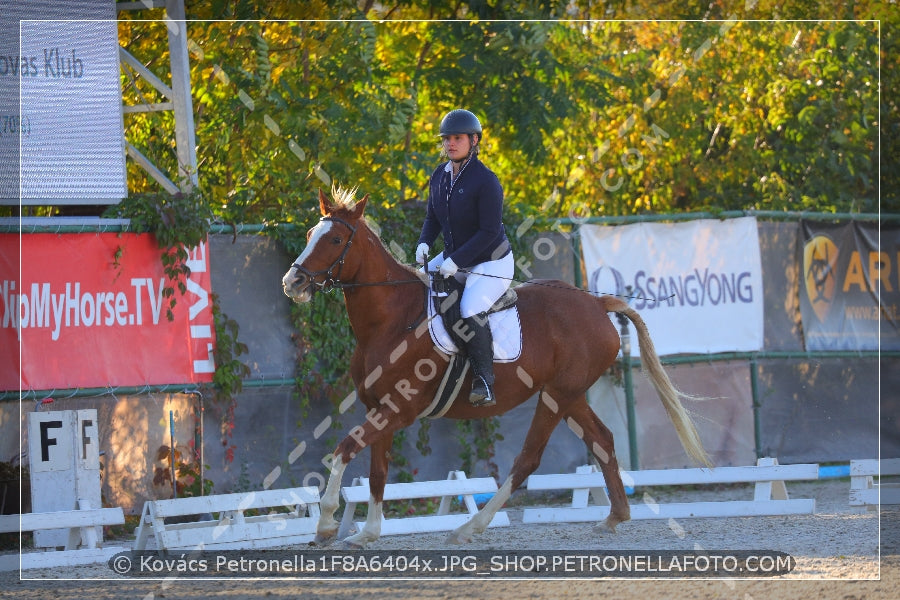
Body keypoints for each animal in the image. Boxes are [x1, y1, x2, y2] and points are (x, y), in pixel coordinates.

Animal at [282, 186, 712, 548]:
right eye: (310, 234)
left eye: (335, 240)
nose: (293, 282)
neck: (391, 320)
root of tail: (596, 303)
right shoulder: (379, 408)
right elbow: (376, 471)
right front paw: (368, 533)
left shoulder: (397, 410)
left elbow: (343, 450)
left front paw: (325, 524)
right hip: (568, 395)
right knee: (602, 441)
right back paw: (614, 517)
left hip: (556, 397)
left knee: (528, 460)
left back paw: (469, 527)